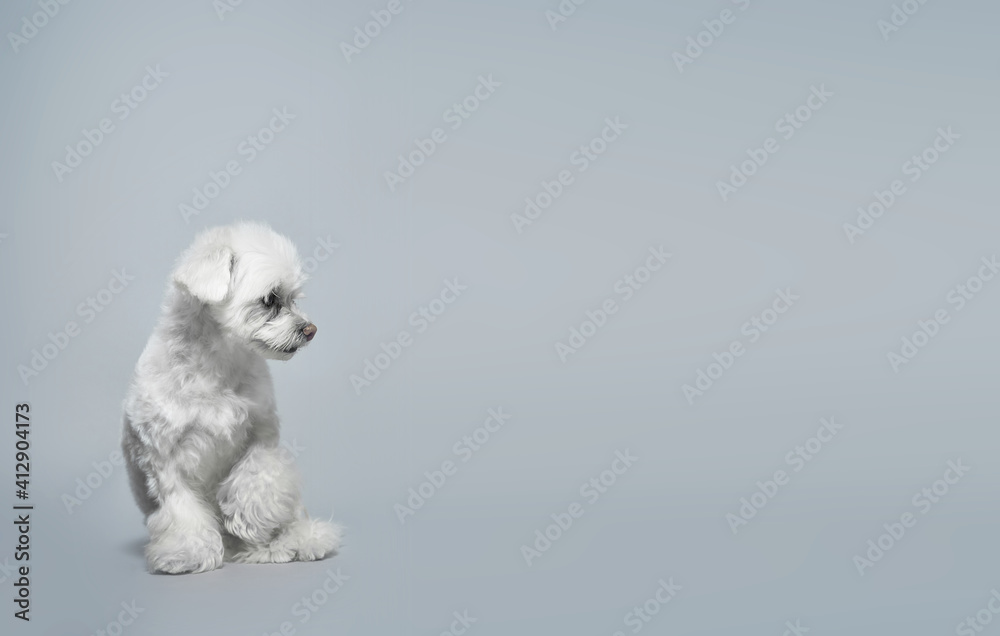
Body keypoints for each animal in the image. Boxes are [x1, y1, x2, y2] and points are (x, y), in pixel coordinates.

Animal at [121, 222, 341, 574]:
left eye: (293, 298)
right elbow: (181, 508)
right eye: (269, 299)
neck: (215, 367)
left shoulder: (262, 433)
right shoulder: (164, 457)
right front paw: (188, 552)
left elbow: (258, 476)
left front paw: (248, 519)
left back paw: (291, 541)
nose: (310, 329)